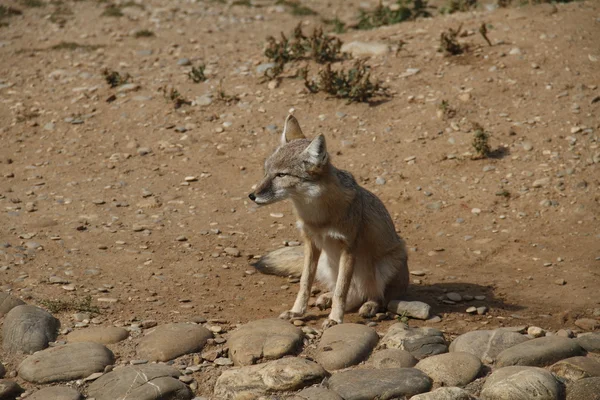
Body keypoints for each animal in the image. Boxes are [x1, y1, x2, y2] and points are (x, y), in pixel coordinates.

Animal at [247, 113, 408, 328]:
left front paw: (335, 319)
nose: (251, 196)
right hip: (326, 261)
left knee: (377, 296)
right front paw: (297, 311)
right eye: (266, 172)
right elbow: (305, 283)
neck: (318, 216)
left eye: (281, 175)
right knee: (353, 294)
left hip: (385, 264)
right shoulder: (311, 243)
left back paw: (370, 305)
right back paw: (327, 298)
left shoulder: (349, 247)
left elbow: (341, 290)